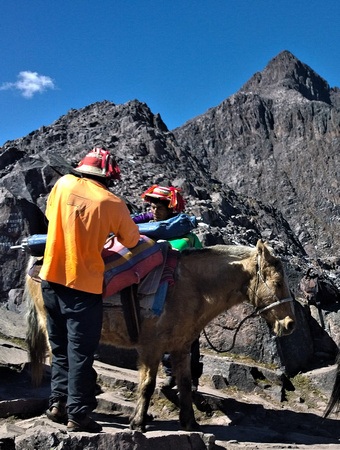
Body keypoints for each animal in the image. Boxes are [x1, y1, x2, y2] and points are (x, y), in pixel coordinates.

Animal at [25, 239, 294, 432]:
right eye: (278, 282)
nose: (290, 325)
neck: (192, 288)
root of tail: (36, 264)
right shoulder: (151, 348)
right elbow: (147, 384)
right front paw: (138, 423)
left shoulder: (180, 348)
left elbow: (185, 383)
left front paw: (190, 423)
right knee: (61, 361)